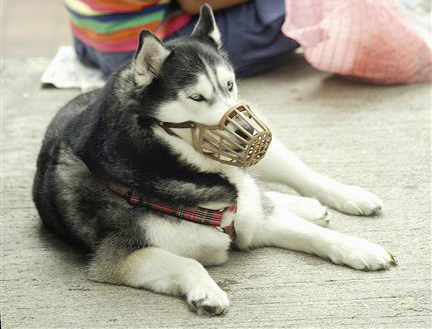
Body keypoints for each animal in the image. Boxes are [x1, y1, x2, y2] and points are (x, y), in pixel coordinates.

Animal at [35, 4, 396, 316]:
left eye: (230, 85)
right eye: (196, 97)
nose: (251, 134)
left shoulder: (257, 220)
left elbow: (315, 235)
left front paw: (361, 248)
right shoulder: (119, 256)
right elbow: (188, 261)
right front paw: (206, 291)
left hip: (270, 153)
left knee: (296, 177)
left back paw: (348, 197)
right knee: (263, 192)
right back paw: (304, 206)